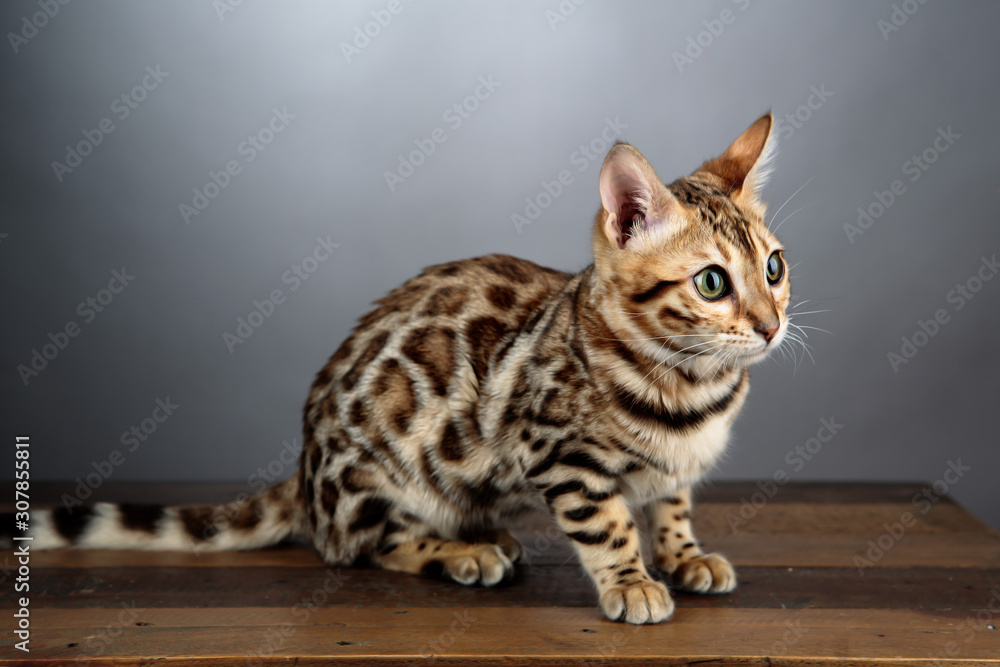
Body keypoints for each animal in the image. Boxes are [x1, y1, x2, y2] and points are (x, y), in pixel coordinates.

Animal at [19, 115, 788, 628]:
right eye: (713, 282)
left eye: (774, 268)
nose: (771, 324)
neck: (694, 388)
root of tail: (306, 475)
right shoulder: (558, 454)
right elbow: (606, 522)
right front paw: (631, 580)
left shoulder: (675, 466)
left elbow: (671, 503)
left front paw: (684, 555)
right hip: (389, 469)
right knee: (363, 547)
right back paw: (462, 552)